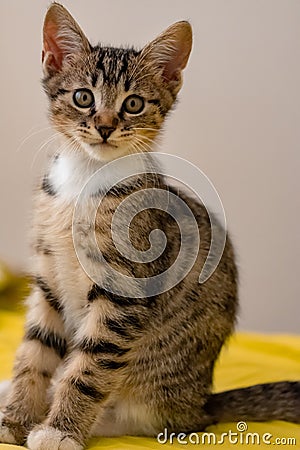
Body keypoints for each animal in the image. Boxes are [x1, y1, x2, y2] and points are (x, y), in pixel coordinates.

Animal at [0, 3, 298, 450]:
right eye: (83, 97)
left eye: (134, 104)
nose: (105, 125)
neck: (85, 180)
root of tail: (199, 405)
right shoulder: (48, 278)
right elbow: (34, 352)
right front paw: (15, 418)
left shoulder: (125, 292)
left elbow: (88, 368)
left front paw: (58, 430)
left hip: (157, 398)